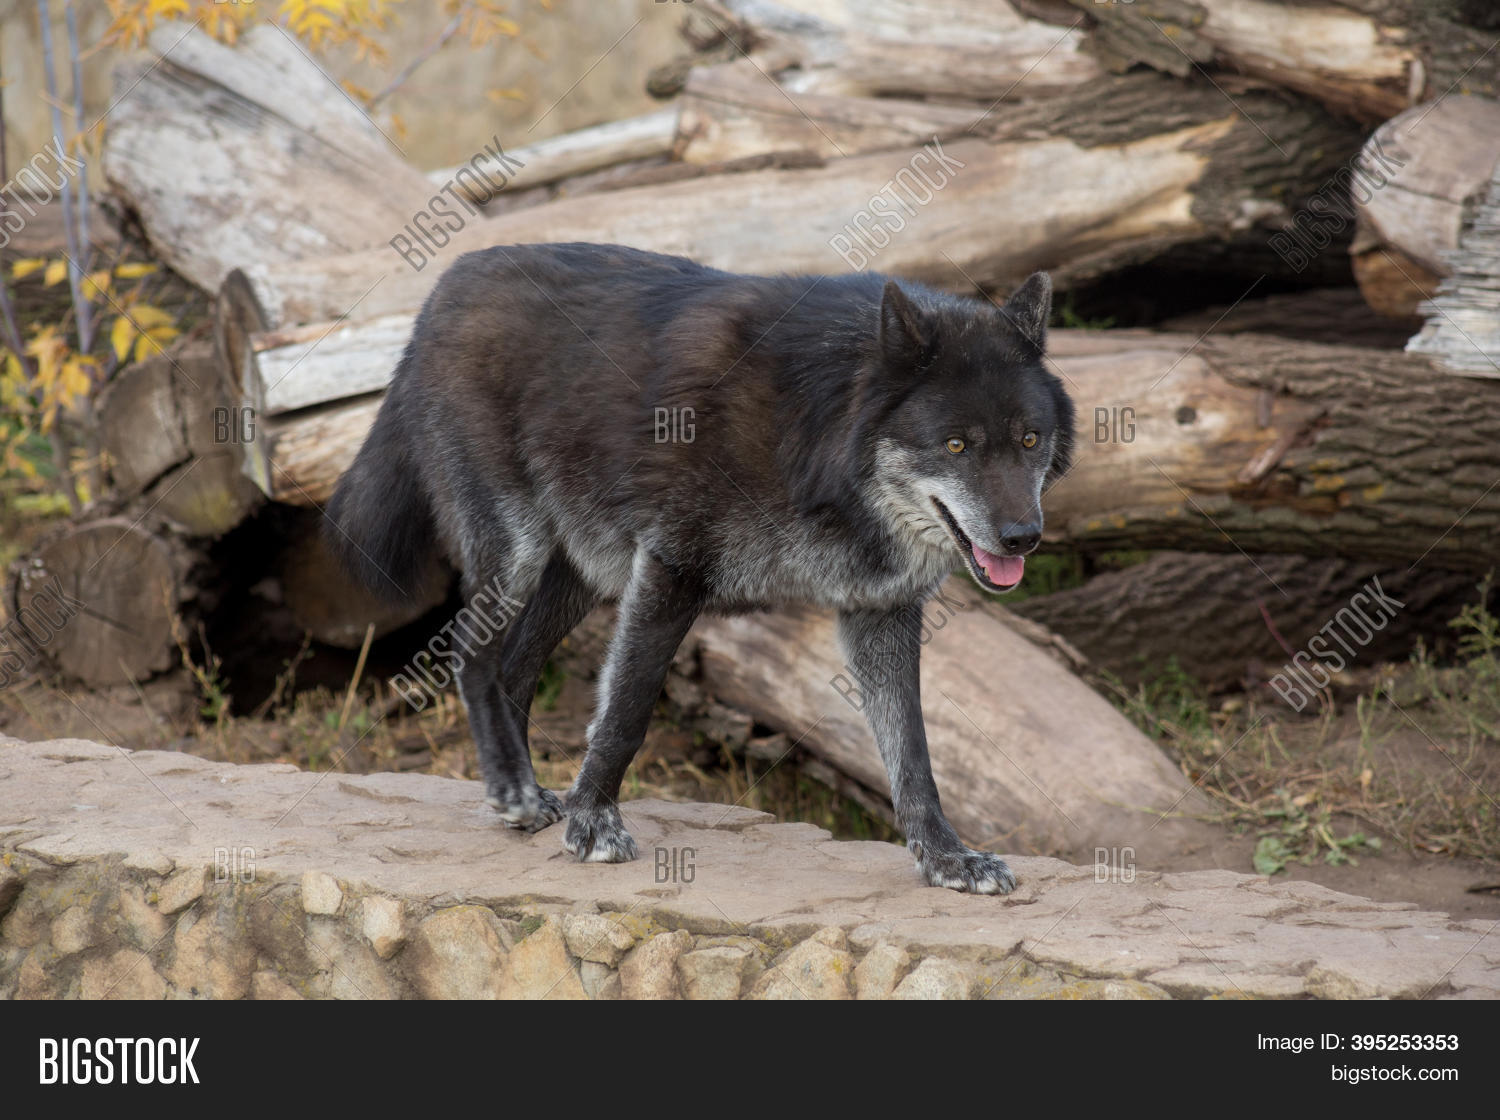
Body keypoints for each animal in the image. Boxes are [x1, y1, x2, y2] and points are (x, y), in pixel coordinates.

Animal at [327, 243, 1074, 894]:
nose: (1022, 538)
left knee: (514, 668)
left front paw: (947, 859)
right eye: (956, 445)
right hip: (519, 549)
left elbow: (913, 753)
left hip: (584, 574)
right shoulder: (671, 568)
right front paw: (593, 823)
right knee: (471, 653)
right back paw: (514, 791)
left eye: (1029, 439)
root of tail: (446, 286)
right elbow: (626, 712)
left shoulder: (879, 612)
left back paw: (526, 790)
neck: (816, 425)